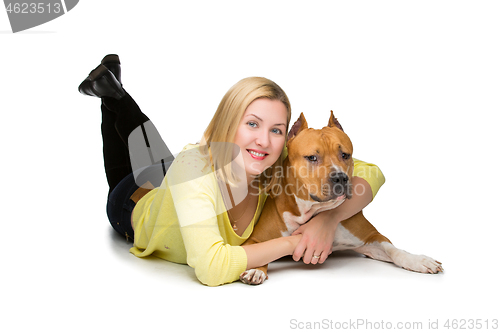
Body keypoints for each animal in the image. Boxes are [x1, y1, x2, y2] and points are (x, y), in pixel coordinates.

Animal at [240, 113, 444, 284]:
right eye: (312, 157)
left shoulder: (371, 238)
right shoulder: (255, 239)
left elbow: (393, 249)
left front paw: (418, 260)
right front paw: (255, 269)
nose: (340, 177)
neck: (312, 211)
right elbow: (259, 253)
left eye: (345, 155)